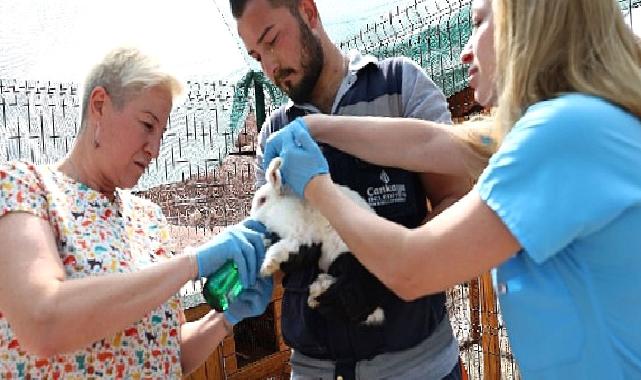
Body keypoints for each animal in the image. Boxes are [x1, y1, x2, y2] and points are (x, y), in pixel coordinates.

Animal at [248, 157, 382, 324]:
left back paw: (316, 295)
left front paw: (266, 267)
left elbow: (280, 248)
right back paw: (314, 295)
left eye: (262, 200)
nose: (251, 217)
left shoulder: (298, 235)